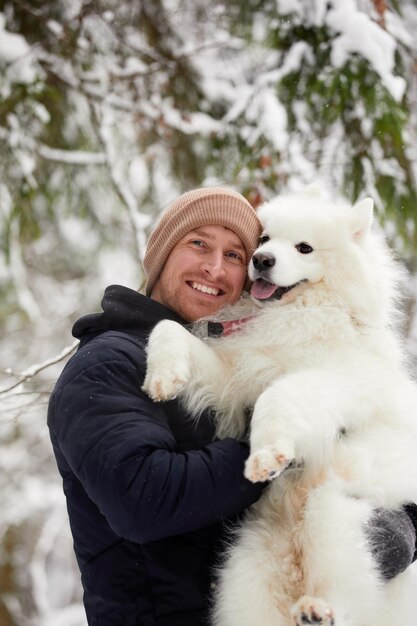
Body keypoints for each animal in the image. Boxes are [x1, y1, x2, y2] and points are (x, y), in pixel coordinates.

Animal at [141, 185, 416, 624]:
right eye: (265, 239)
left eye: (304, 247)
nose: (261, 260)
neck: (295, 315)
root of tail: (294, 562)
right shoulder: (234, 375)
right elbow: (166, 328)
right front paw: (164, 375)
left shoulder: (338, 382)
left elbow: (278, 396)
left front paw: (266, 455)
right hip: (247, 571)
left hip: (335, 514)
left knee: (347, 591)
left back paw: (319, 609)